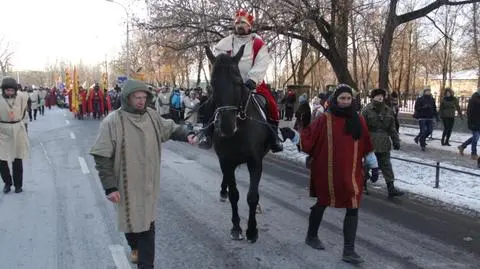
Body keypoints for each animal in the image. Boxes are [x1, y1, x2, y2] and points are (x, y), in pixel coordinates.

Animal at [204, 45, 272, 242]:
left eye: (238, 83)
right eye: (212, 84)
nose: (226, 126)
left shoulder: (255, 161)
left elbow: (252, 196)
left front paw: (252, 230)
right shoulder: (226, 161)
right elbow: (235, 194)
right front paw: (236, 227)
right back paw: (223, 191)